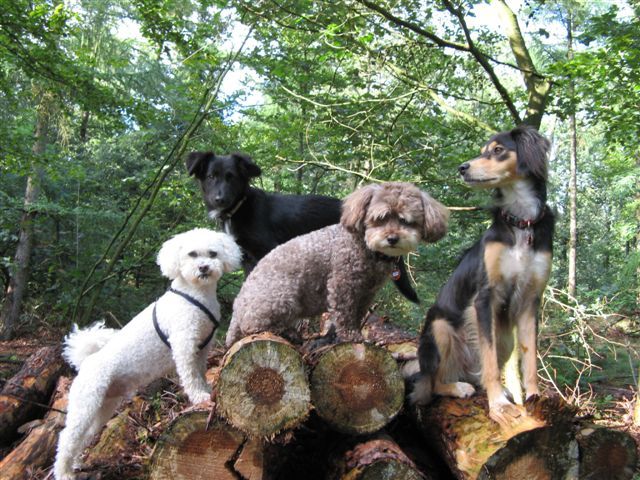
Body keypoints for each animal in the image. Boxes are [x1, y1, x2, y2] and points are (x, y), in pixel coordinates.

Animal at [54, 229, 241, 479]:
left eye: (213, 253)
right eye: (192, 254)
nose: (203, 268)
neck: (195, 294)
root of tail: (86, 362)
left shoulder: (202, 349)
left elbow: (200, 373)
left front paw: (206, 390)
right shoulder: (184, 345)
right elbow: (190, 376)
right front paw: (199, 397)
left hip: (103, 407)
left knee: (85, 436)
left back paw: (75, 464)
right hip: (86, 404)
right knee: (67, 438)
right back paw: (64, 472)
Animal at [185, 151, 419, 303]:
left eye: (231, 178)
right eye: (211, 177)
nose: (219, 199)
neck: (240, 208)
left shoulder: (268, 249)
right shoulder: (247, 259)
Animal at [225, 182, 448, 347]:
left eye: (406, 221)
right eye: (380, 218)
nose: (392, 238)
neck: (366, 247)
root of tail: (237, 307)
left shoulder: (366, 293)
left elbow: (358, 314)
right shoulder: (343, 284)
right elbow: (345, 313)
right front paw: (350, 336)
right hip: (283, 297)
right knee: (253, 325)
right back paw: (286, 332)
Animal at [411, 125, 554, 426]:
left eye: (498, 150)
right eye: (482, 150)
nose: (462, 168)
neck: (521, 223)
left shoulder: (530, 301)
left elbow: (530, 359)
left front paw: (534, 398)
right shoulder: (485, 298)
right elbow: (488, 360)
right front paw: (498, 404)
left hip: (505, 337)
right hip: (440, 328)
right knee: (433, 384)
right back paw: (458, 387)